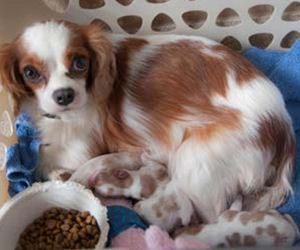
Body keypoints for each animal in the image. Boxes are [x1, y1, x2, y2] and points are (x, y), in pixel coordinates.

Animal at [0, 19, 298, 246]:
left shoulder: (81, 149)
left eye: (80, 63)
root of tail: (284, 127)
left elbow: (52, 164)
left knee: (213, 215)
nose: (64, 95)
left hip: (195, 161)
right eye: (30, 72)